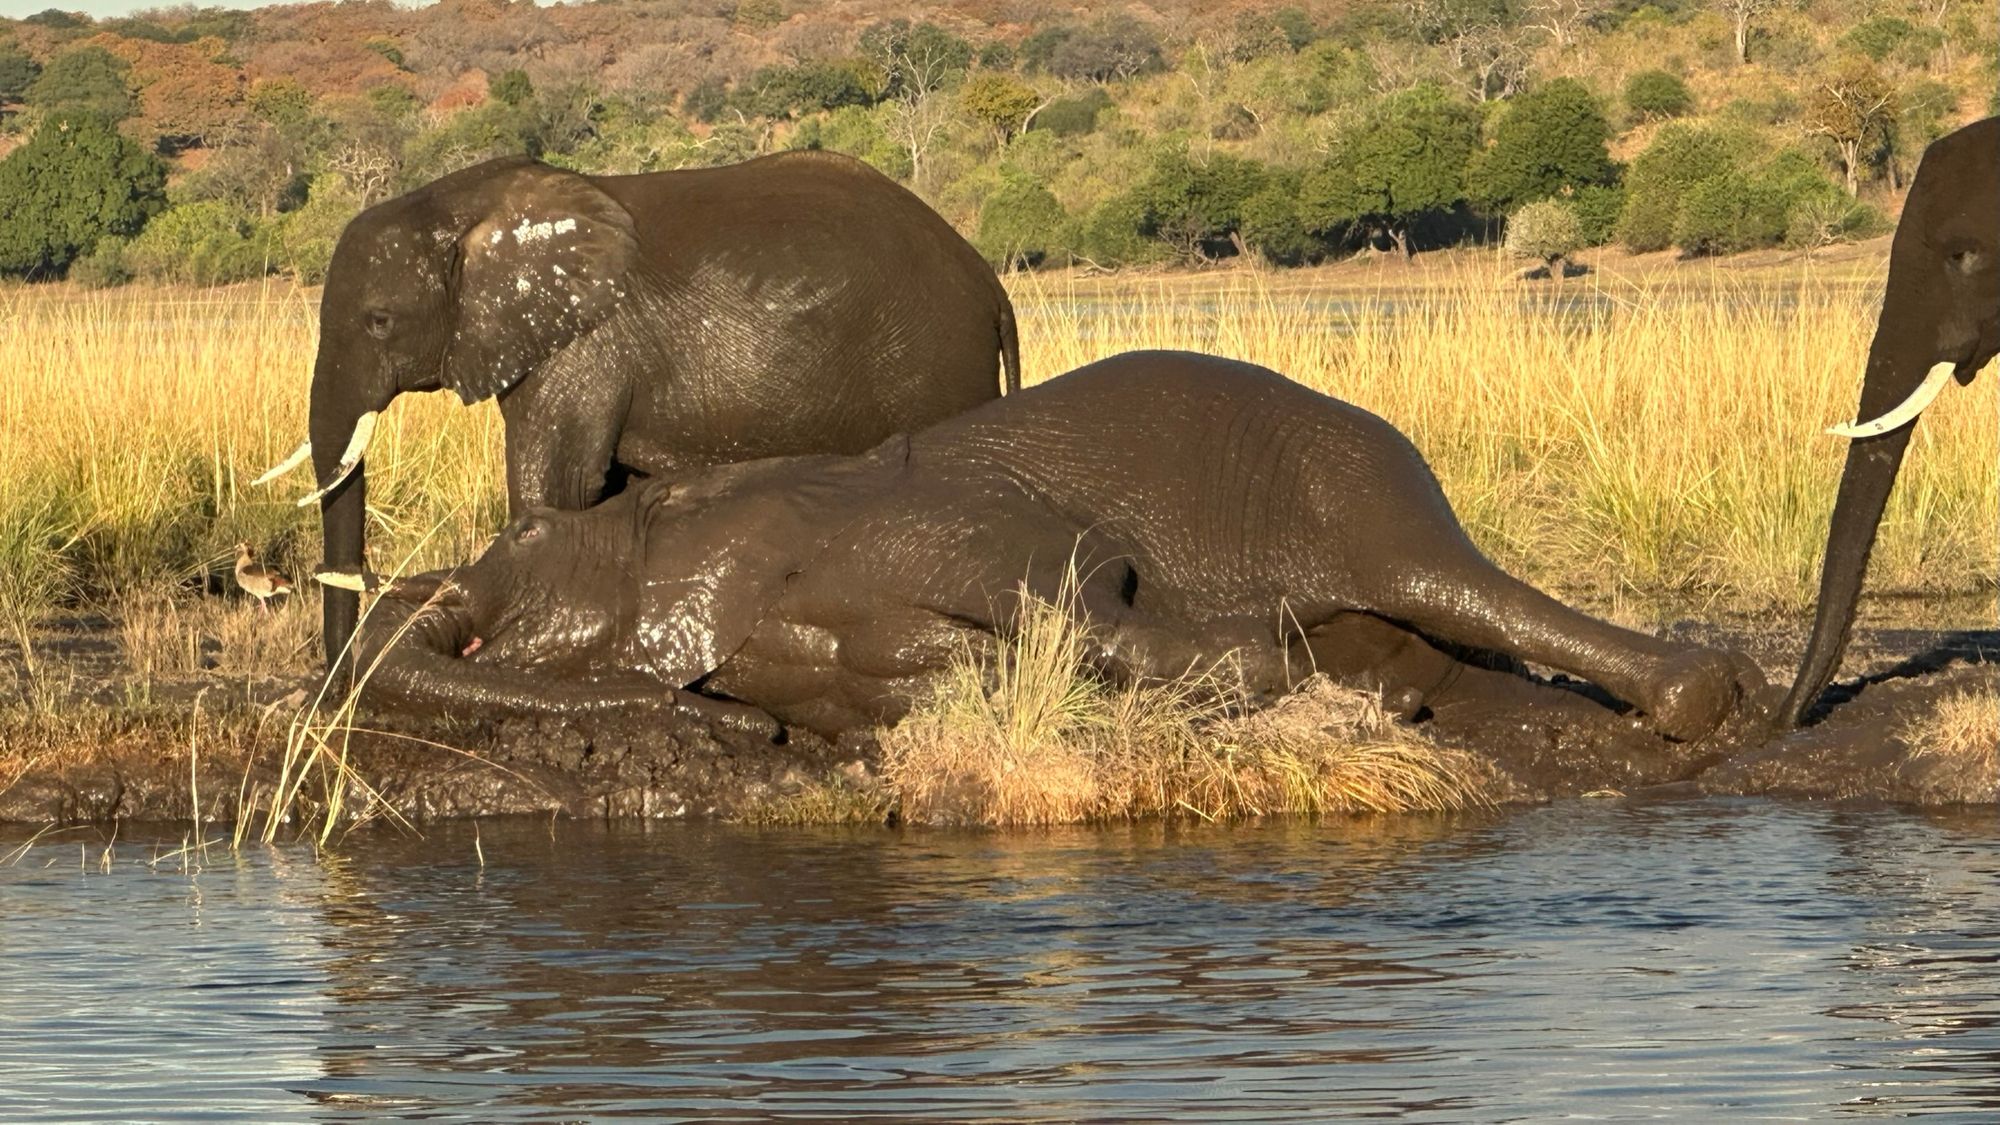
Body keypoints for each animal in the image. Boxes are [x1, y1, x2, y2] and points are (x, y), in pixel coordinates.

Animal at [258, 153, 1024, 668]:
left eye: (380, 321)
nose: (333, 680)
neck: (462, 205)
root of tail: (988, 283)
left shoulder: (586, 345)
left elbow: (555, 485)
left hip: (932, 363)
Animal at [360, 346, 1768, 740]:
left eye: (515, 549)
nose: (728, 734)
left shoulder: (947, 525)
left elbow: (1080, 591)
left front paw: (1292, 678)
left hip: (1360, 487)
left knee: (1447, 583)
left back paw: (1709, 697)